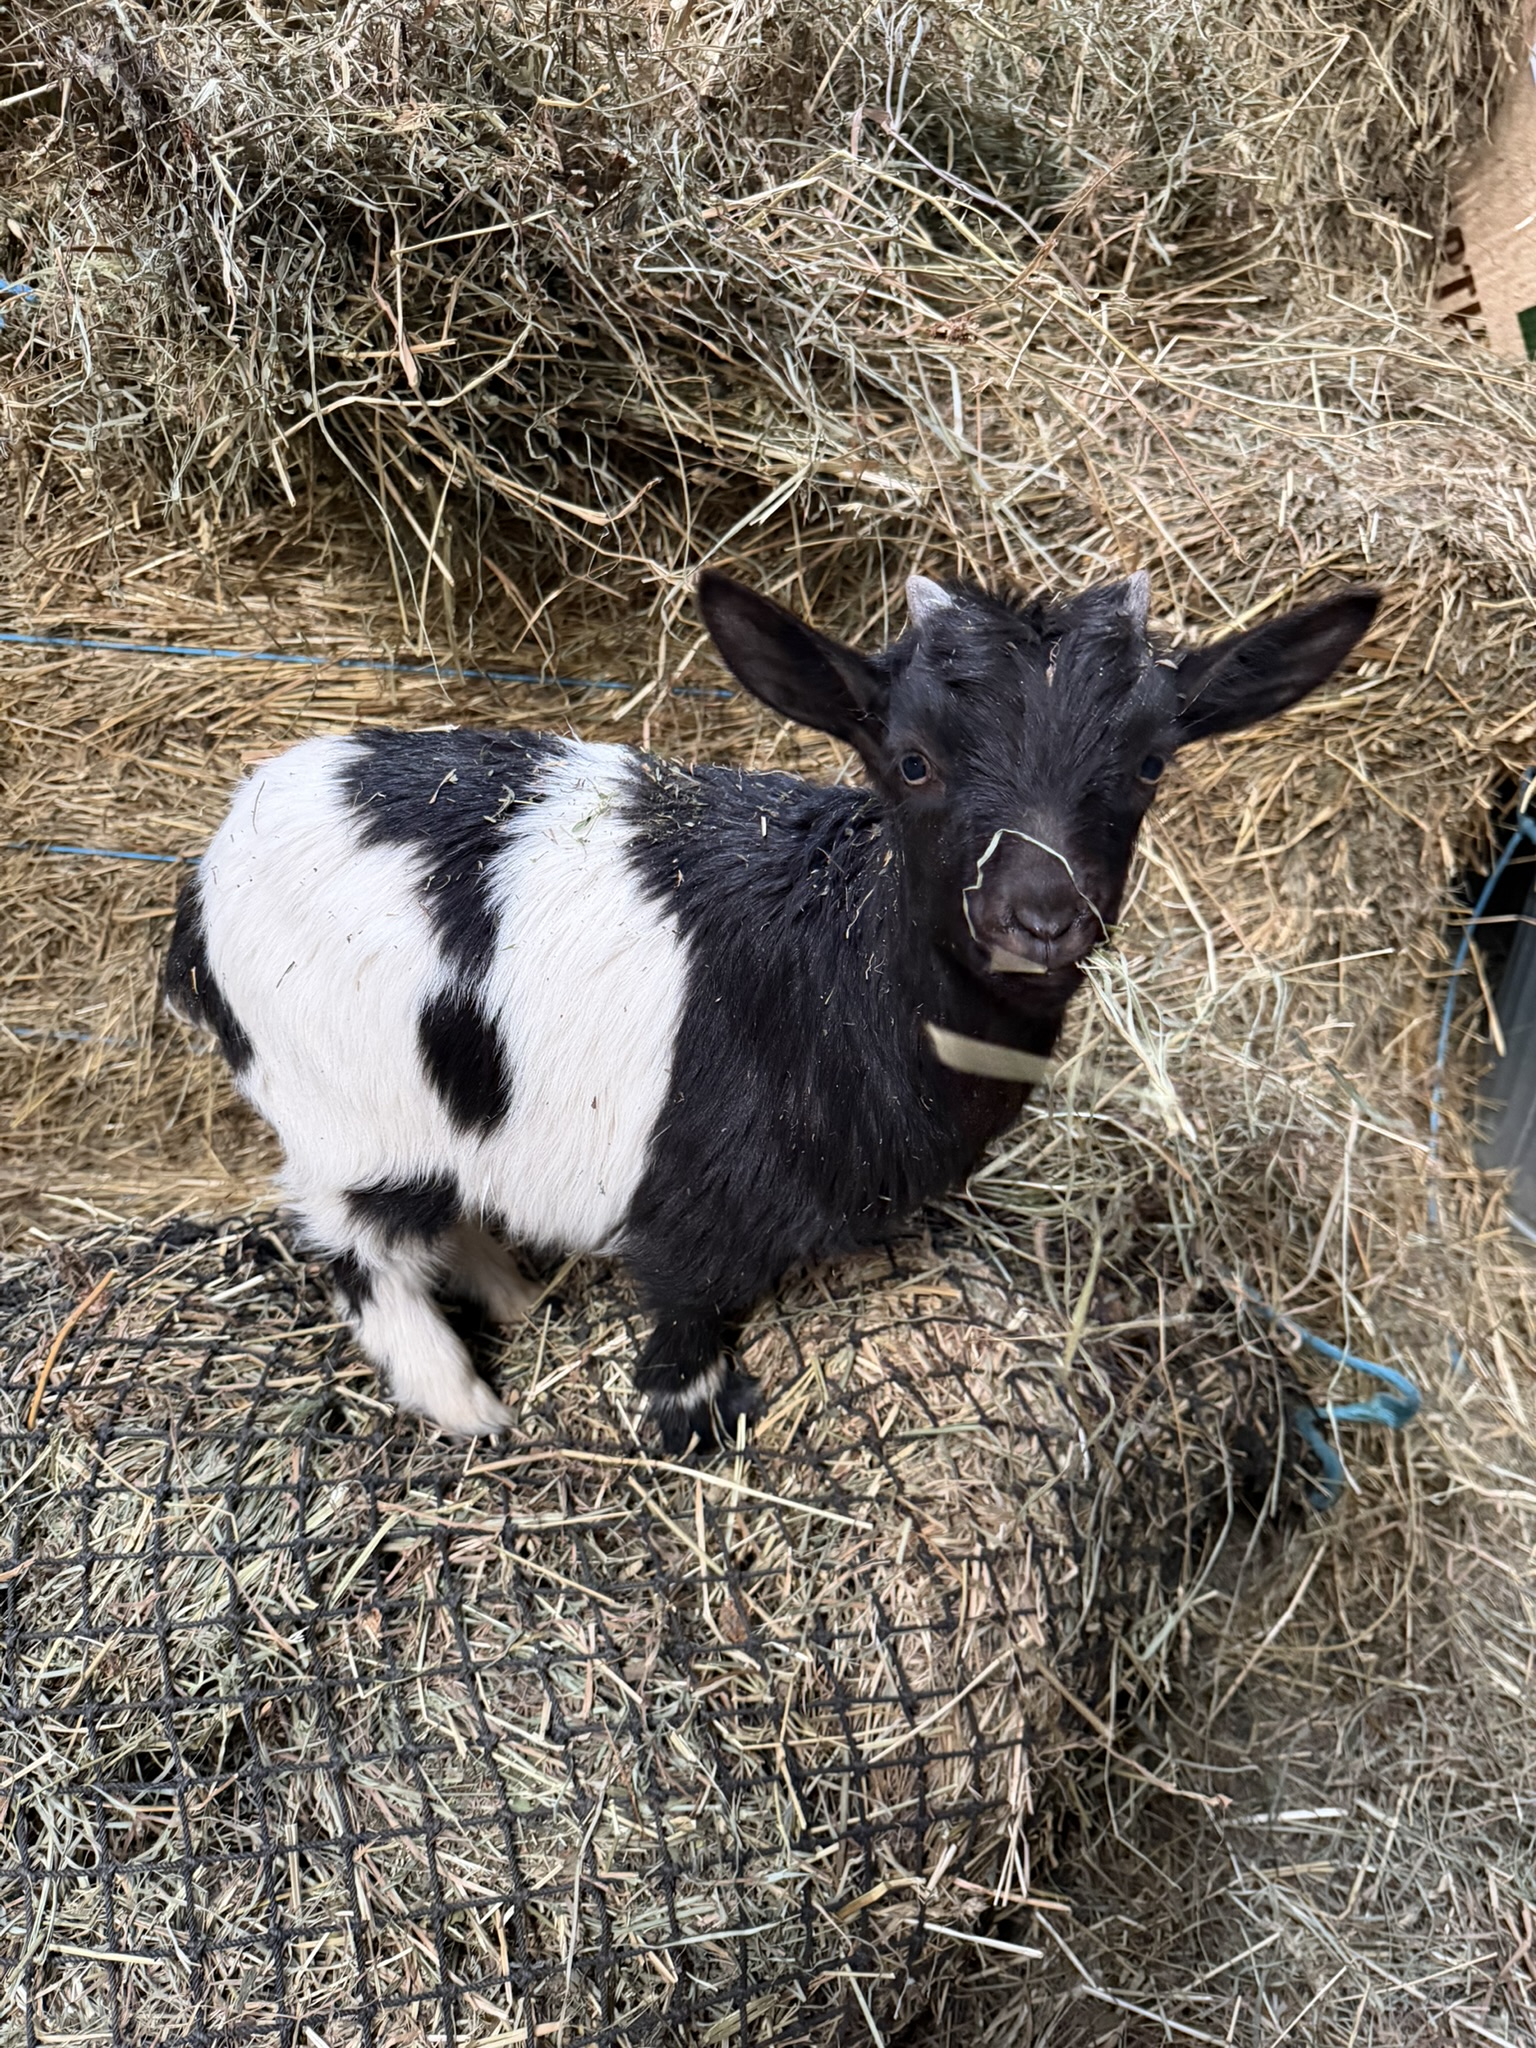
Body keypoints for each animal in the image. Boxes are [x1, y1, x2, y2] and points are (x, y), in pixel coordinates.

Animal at [165, 570, 1377, 1448]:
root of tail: (207, 879)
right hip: (346, 1114)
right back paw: (468, 1405)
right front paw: (693, 1425)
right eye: (912, 761)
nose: (1038, 915)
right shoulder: (692, 1234)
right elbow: (683, 1363)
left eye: (1151, 761)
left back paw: (512, 1296)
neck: (834, 975)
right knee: (357, 1249)